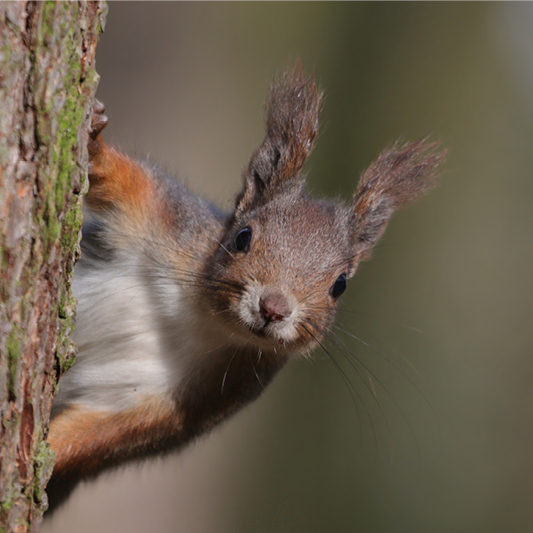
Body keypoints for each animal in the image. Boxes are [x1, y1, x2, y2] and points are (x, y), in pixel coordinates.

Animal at [45, 66, 444, 502]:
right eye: (242, 236)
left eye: (339, 285)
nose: (273, 308)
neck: (203, 320)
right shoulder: (166, 218)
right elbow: (126, 180)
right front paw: (94, 140)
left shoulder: (200, 400)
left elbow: (101, 437)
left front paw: (45, 447)